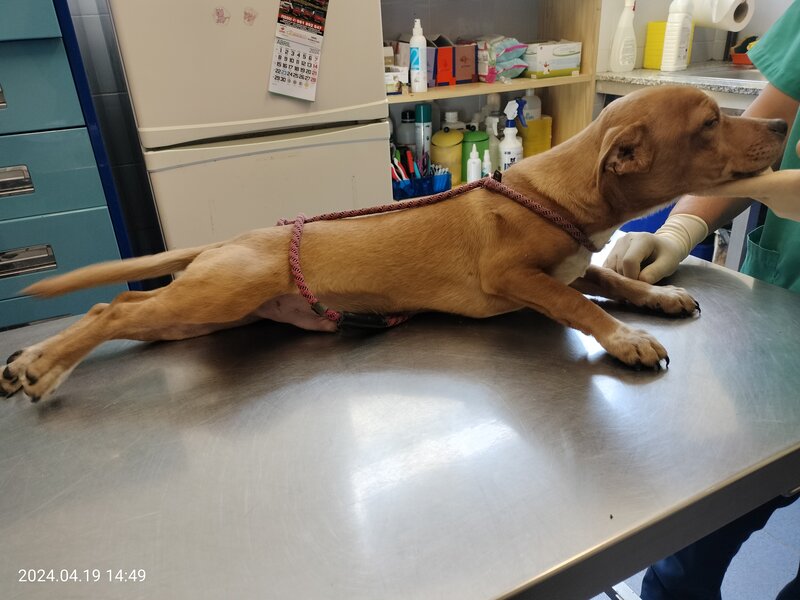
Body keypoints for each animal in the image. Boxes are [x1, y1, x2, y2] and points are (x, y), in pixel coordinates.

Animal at [1, 85, 787, 402]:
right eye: (711, 122)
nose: (783, 126)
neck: (560, 193)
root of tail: (225, 240)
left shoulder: (570, 264)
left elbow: (610, 280)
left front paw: (657, 294)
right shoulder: (514, 277)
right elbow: (581, 305)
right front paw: (625, 339)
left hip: (204, 312)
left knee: (122, 317)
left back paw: (45, 363)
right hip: (223, 290)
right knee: (111, 311)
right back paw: (36, 366)